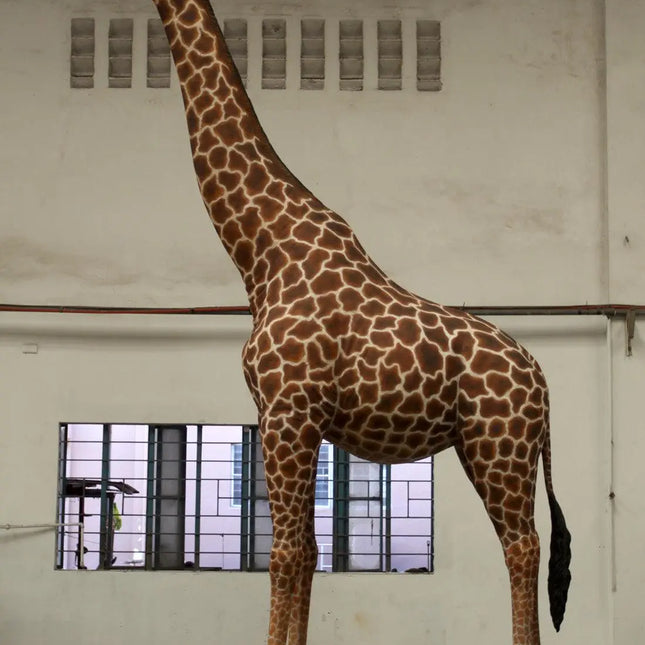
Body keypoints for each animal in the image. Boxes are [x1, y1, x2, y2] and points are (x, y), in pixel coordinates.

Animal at [150, 1, 572, 643]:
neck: (263, 253)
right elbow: (311, 551)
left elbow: (285, 554)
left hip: (501, 444)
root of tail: (541, 378)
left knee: (523, 546)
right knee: (521, 544)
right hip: (486, 448)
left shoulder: (288, 411)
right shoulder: (291, 418)